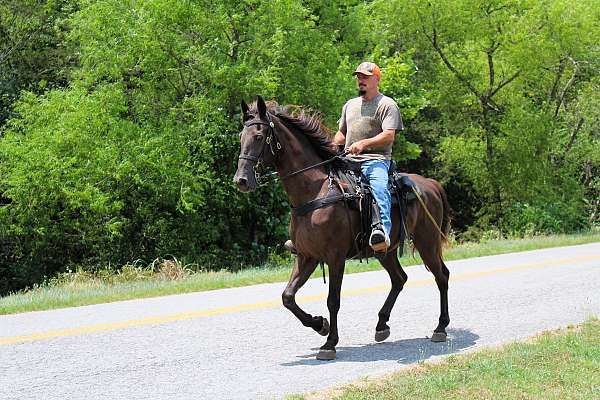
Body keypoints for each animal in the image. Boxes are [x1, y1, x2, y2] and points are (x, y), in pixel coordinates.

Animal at [234, 97, 450, 362]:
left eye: (258, 135)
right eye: (241, 136)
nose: (241, 180)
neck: (315, 190)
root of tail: (430, 184)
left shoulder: (335, 257)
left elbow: (333, 300)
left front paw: (329, 343)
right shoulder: (307, 256)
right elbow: (288, 297)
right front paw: (320, 325)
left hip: (427, 242)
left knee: (441, 276)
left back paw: (440, 328)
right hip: (385, 251)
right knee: (400, 279)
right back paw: (382, 325)